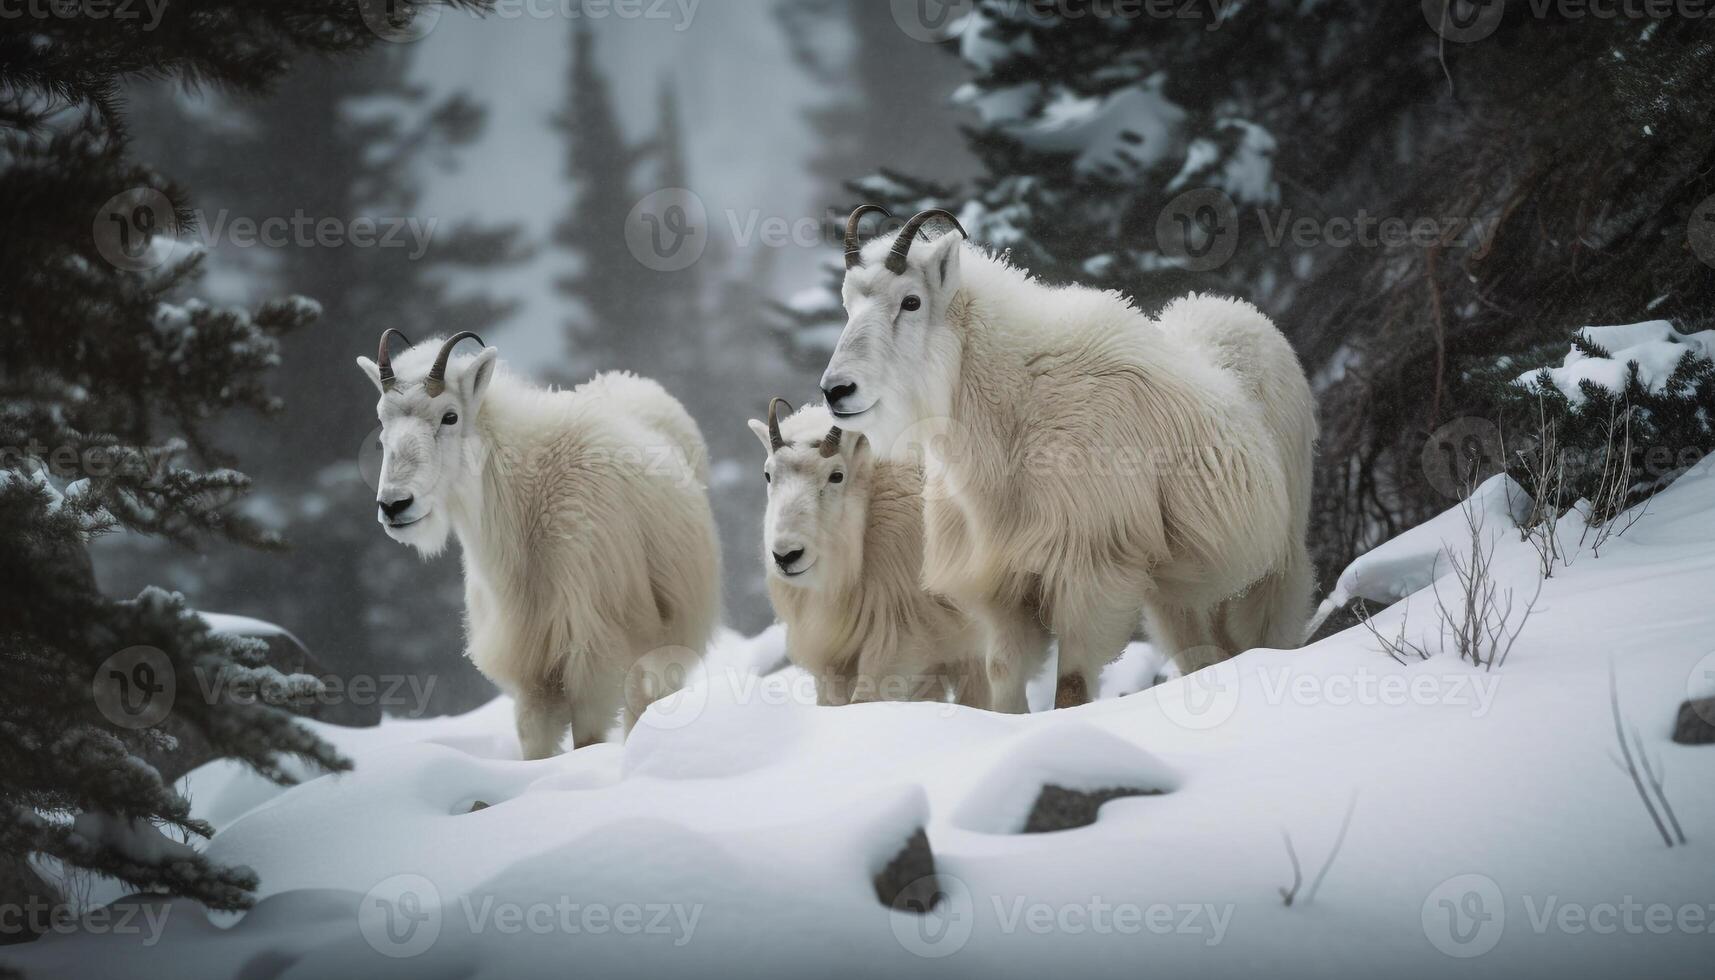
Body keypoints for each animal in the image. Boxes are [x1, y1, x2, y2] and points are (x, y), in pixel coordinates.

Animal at [355, 332, 716, 755]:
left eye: (450, 416)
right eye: (382, 419)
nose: (394, 504)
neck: (525, 504)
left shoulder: (592, 656)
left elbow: (587, 740)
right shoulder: (531, 669)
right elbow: (534, 746)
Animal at [747, 399, 987, 713]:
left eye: (836, 475)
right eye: (768, 474)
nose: (787, 556)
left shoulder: (901, 634)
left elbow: (865, 698)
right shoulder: (831, 653)